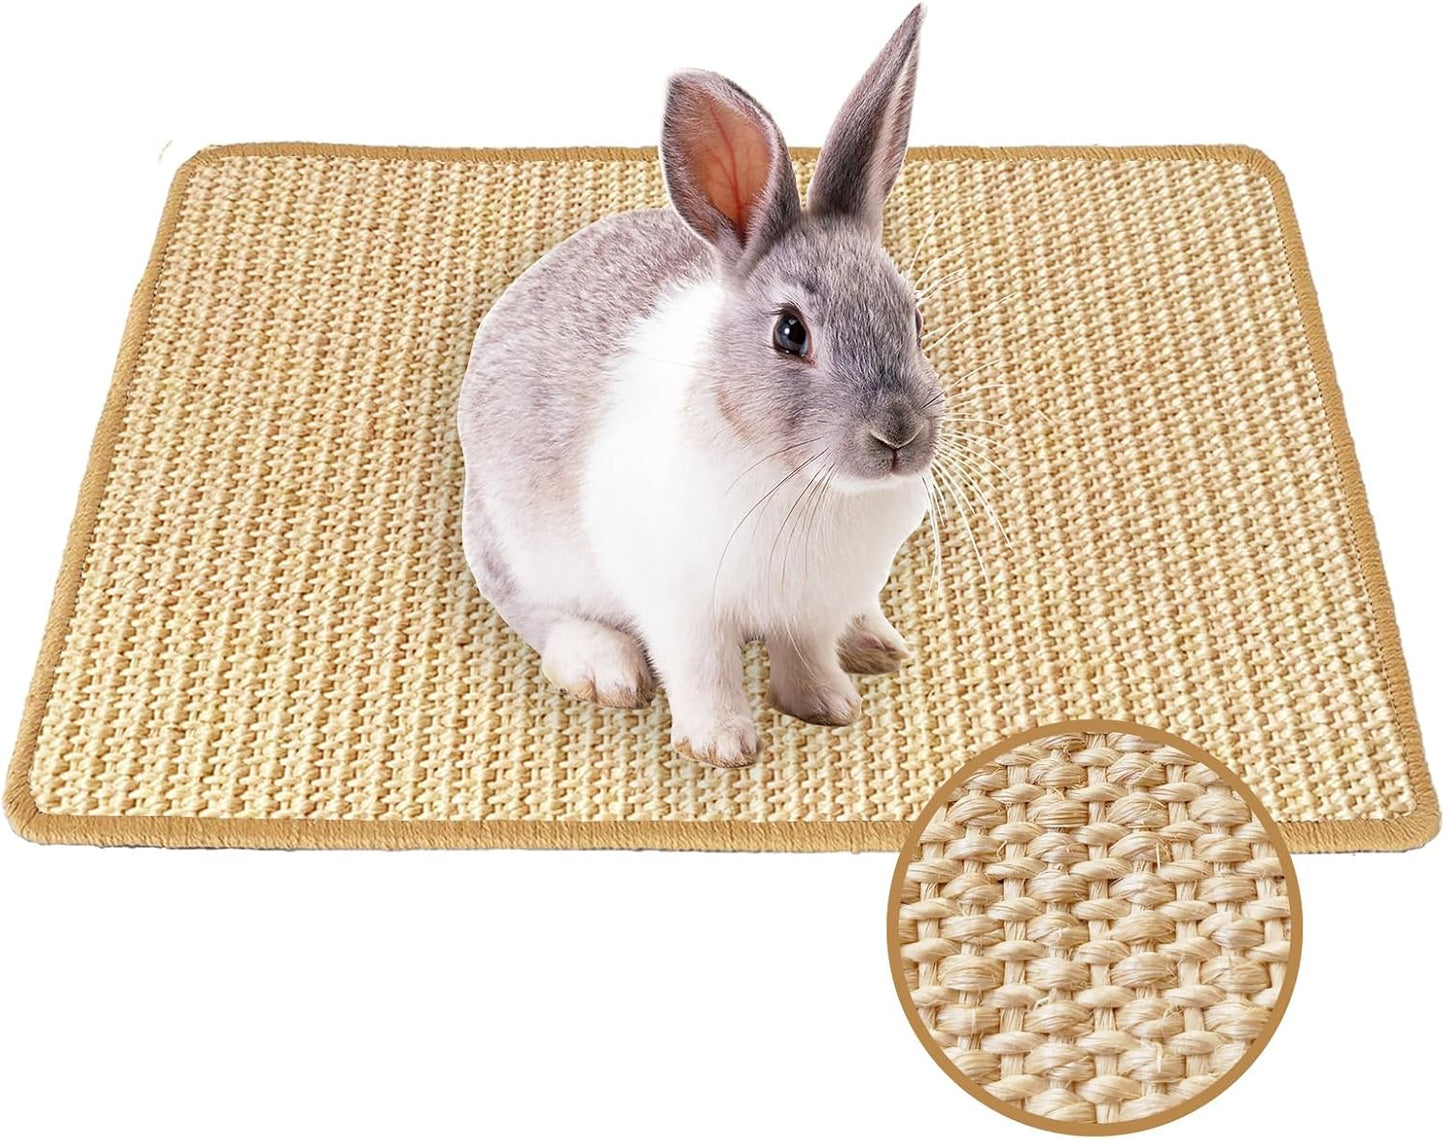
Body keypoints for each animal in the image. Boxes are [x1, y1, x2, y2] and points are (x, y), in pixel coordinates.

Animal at [458, 5, 942, 768]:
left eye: (915, 319)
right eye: (790, 333)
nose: (898, 435)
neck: (803, 482)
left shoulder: (810, 607)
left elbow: (805, 655)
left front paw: (827, 706)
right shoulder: (681, 605)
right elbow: (702, 669)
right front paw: (723, 746)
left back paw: (874, 643)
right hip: (515, 549)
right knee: (540, 615)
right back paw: (605, 669)